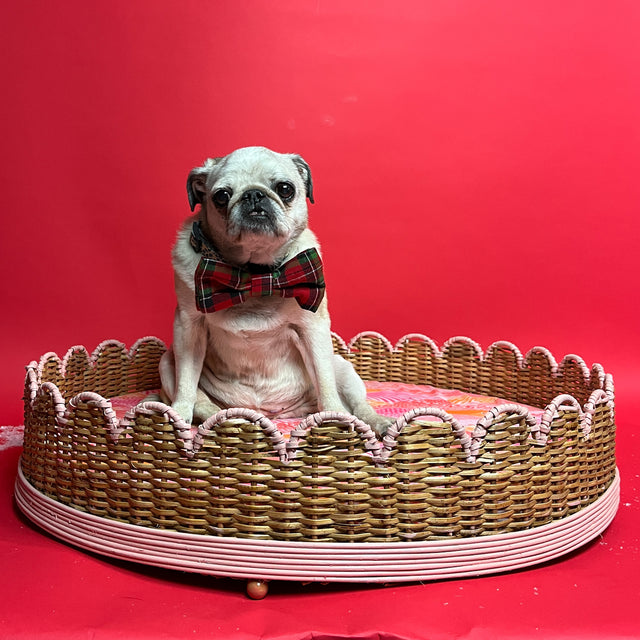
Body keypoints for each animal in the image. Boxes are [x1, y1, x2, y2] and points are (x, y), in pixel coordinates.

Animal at [159, 145, 390, 436]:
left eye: (285, 189)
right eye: (221, 196)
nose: (253, 194)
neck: (256, 274)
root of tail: (272, 412)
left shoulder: (313, 328)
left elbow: (325, 382)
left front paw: (333, 418)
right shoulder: (189, 327)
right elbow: (187, 384)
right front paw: (177, 416)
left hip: (343, 368)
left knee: (356, 403)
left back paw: (377, 422)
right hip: (167, 361)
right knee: (201, 400)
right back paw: (223, 419)